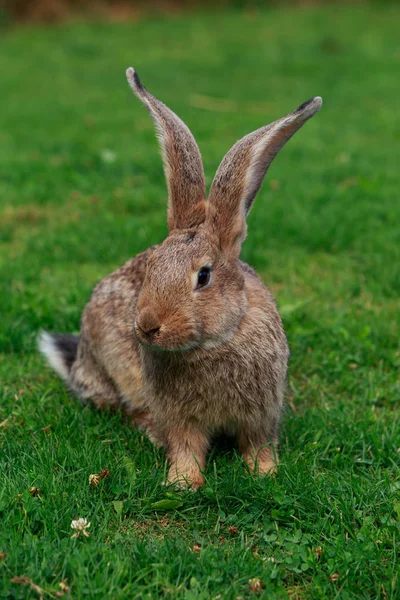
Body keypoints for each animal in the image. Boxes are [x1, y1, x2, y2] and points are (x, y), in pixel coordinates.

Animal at [39, 67, 322, 488]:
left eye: (203, 276)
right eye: (152, 266)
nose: (147, 327)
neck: (215, 343)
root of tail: (80, 364)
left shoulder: (262, 413)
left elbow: (258, 445)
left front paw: (265, 475)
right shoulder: (181, 418)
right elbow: (186, 446)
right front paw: (183, 483)